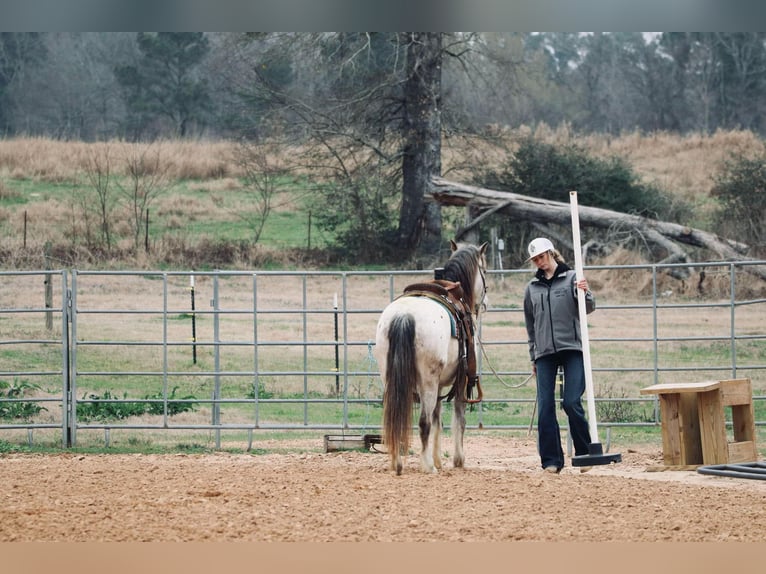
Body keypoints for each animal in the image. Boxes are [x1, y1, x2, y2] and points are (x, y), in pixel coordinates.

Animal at [376, 240, 488, 476]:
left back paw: (397, 463)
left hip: (391, 378)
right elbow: (457, 419)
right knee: (423, 422)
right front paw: (457, 460)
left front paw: (438, 459)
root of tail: (404, 316)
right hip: (428, 381)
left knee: (397, 418)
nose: (484, 303)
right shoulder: (460, 381)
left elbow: (438, 419)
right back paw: (427, 466)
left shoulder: (439, 386)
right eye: (484, 270)